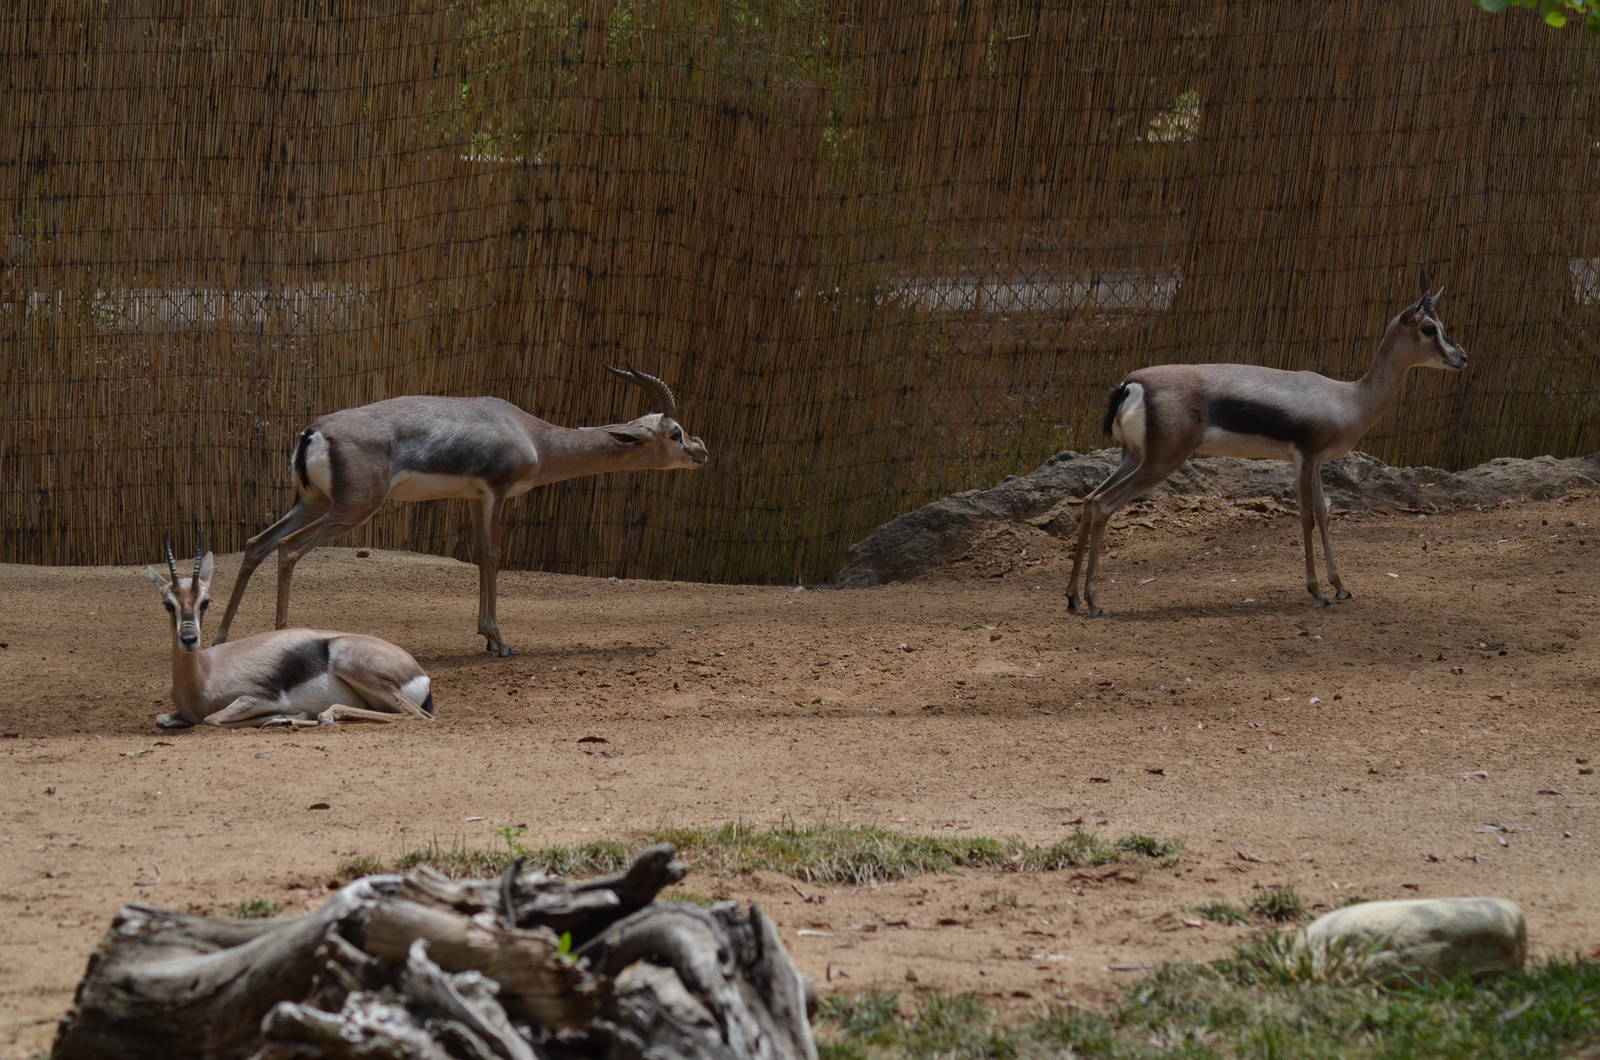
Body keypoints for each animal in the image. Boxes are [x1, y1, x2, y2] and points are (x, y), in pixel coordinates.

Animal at [147, 538, 435, 729]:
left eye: (205, 602)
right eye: (167, 604)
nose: (189, 639)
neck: (204, 676)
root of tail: (420, 673)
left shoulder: (259, 699)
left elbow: (212, 719)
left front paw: (291, 717)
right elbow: (163, 718)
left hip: (353, 665)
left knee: (418, 715)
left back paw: (321, 716)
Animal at [214, 367, 707, 657]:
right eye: (676, 433)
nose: (701, 451)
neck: (532, 435)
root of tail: (313, 431)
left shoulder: (472, 497)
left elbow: (481, 558)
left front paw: (487, 637)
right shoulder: (496, 492)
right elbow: (492, 557)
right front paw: (501, 643)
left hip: (312, 501)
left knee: (257, 544)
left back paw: (220, 639)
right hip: (352, 508)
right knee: (290, 549)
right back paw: (283, 637)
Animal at [1066, 272, 1468, 616]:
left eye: (1444, 325)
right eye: (1429, 328)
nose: (1461, 357)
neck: (1349, 398)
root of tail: (1130, 384)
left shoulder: (1316, 462)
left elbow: (1324, 513)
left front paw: (1340, 586)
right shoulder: (1304, 458)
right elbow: (1306, 516)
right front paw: (1317, 592)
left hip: (1133, 458)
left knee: (1088, 501)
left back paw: (1072, 598)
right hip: (1159, 463)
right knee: (1102, 505)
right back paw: (1094, 602)